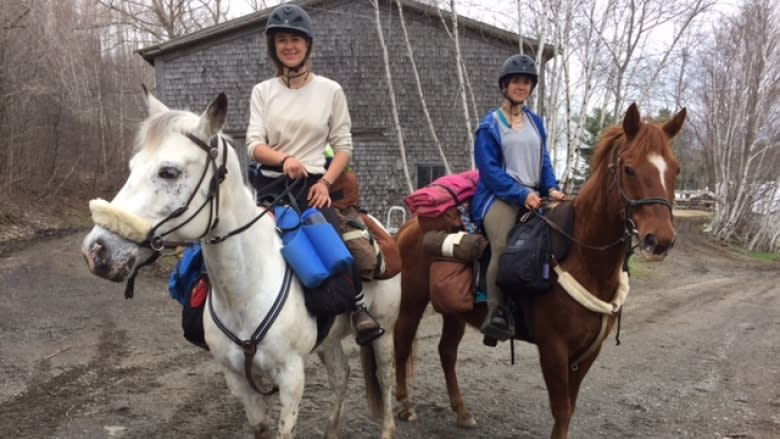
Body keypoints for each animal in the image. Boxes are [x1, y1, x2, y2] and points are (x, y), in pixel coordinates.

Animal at [82, 91, 402, 438]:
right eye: (133, 166)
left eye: (169, 171)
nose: (97, 250)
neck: (245, 291)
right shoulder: (237, 378)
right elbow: (260, 426)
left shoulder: (291, 377)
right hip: (328, 341)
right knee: (340, 376)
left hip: (384, 331)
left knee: (385, 377)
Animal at [394, 104, 684, 439]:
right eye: (629, 169)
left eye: (675, 170)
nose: (660, 240)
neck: (581, 256)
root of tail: (409, 226)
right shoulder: (554, 348)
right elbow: (561, 410)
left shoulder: (588, 351)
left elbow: (569, 409)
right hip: (412, 301)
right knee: (402, 341)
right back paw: (404, 405)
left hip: (454, 311)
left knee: (446, 352)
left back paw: (462, 412)